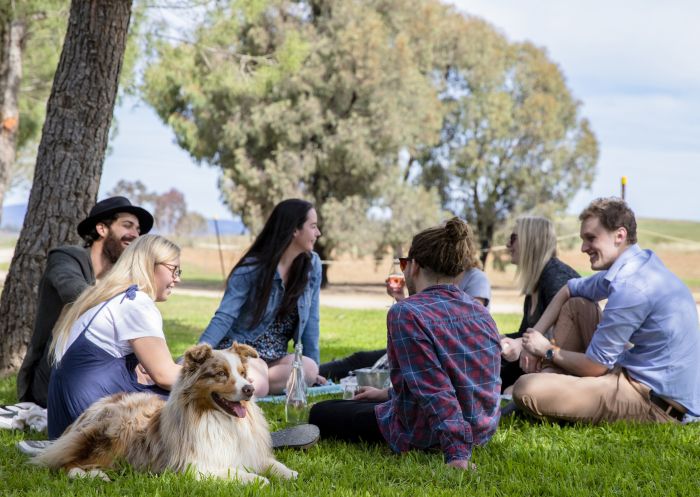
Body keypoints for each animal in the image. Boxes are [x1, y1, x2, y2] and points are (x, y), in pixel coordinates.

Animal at [34, 342, 296, 482]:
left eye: (243, 374)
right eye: (221, 374)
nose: (250, 389)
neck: (220, 420)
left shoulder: (250, 455)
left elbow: (273, 465)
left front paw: (290, 473)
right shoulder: (194, 467)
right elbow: (234, 472)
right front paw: (257, 480)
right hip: (115, 430)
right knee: (64, 464)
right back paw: (94, 476)